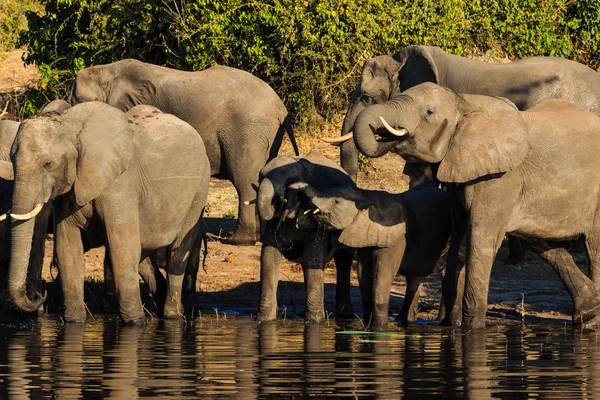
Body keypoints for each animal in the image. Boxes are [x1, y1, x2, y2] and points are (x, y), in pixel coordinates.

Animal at [69, 58, 300, 247]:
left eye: (78, 100)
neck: (105, 72)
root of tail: (281, 108)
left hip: (248, 132)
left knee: (244, 181)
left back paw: (239, 241)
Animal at [292, 183, 452, 326]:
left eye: (336, 201)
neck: (367, 196)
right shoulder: (366, 235)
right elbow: (364, 272)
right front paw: (368, 325)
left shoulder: (395, 238)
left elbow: (383, 273)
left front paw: (378, 327)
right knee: (415, 280)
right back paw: (404, 321)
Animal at [350, 81, 600, 328]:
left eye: (428, 112)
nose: (387, 133)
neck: (465, 103)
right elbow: (459, 236)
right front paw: (450, 326)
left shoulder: (500, 177)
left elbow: (480, 239)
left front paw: (472, 329)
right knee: (545, 245)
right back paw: (589, 312)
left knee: (593, 248)